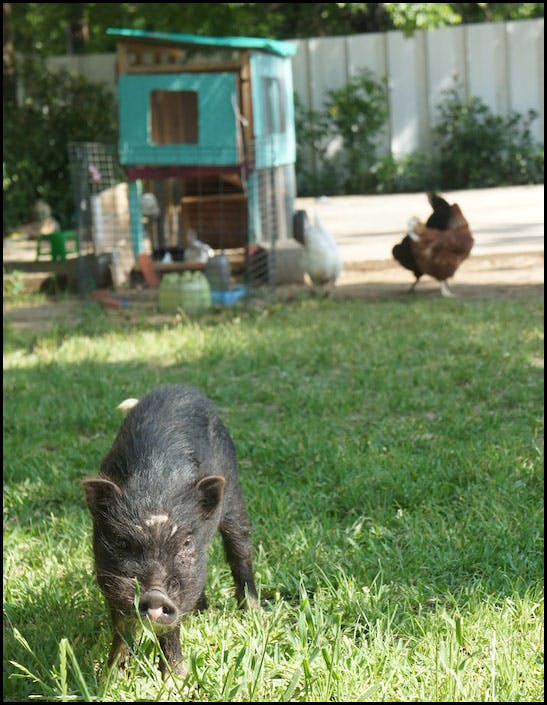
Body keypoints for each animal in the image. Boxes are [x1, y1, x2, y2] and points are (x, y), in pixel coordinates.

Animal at [82, 384, 258, 679]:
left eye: (186, 542)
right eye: (121, 542)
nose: (155, 595)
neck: (155, 492)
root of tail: (180, 388)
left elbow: (170, 628)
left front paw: (176, 678)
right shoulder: (110, 580)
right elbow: (121, 626)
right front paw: (110, 676)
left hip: (233, 493)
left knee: (240, 549)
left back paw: (253, 614)